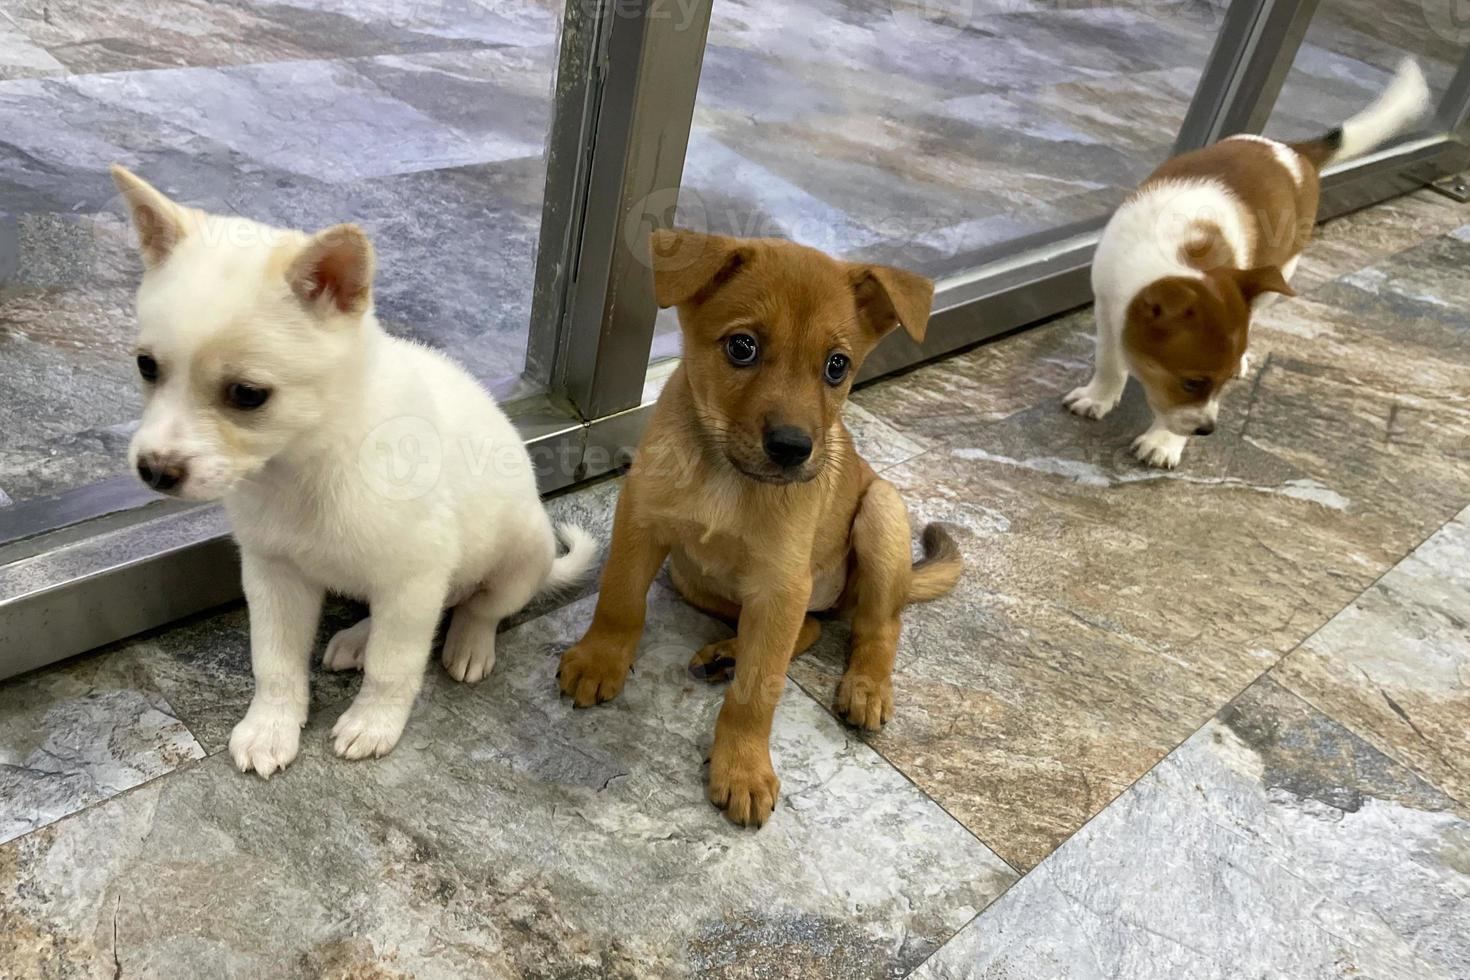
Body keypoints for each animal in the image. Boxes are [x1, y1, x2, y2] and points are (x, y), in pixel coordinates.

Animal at [113, 170, 596, 781]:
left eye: (247, 395)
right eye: (146, 366)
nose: (154, 471)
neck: (308, 462)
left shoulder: (413, 575)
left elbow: (395, 666)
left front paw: (373, 723)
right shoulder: (273, 574)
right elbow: (274, 660)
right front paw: (270, 727)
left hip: (521, 554)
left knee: (475, 605)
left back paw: (469, 643)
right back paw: (359, 639)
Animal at [555, 230, 958, 828]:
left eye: (837, 366)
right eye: (741, 347)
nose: (793, 448)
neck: (727, 478)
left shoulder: (780, 583)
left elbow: (759, 688)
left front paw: (743, 768)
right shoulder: (641, 523)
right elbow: (620, 601)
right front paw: (599, 659)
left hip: (880, 512)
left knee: (879, 625)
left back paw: (865, 686)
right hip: (693, 577)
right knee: (805, 628)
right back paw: (729, 652)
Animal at [1070, 59, 1422, 470]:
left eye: (1218, 385)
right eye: (1192, 382)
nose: (1207, 431)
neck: (1181, 252)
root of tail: (1292, 151)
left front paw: (1163, 442)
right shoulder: (1108, 305)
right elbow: (1109, 361)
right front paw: (1098, 396)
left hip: (1282, 271)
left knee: (1257, 309)